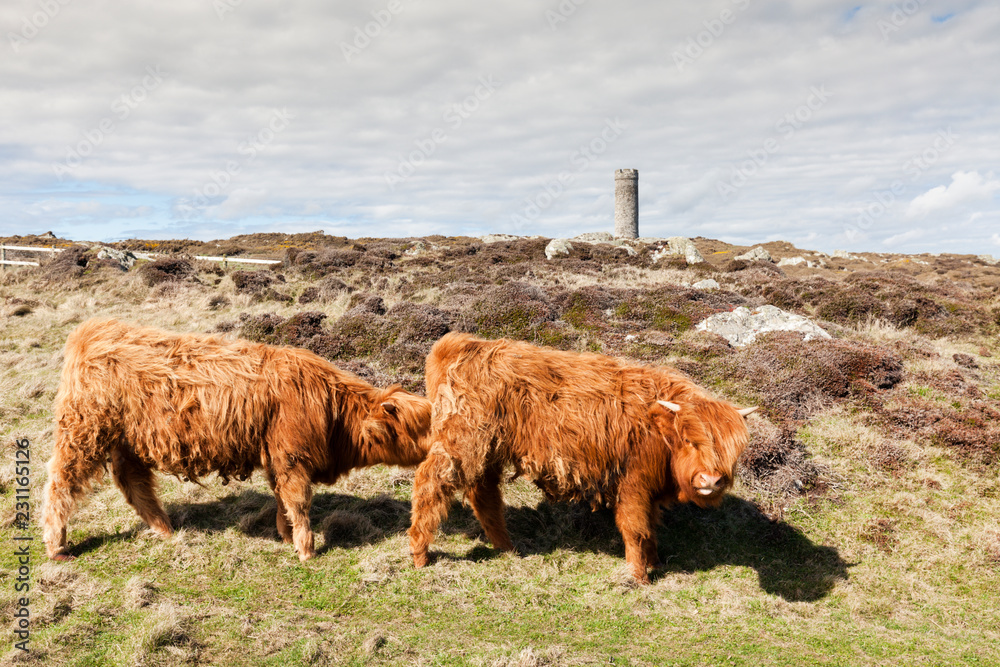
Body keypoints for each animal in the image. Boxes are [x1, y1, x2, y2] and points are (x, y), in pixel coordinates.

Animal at [42, 318, 431, 562]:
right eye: (421, 426)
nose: (437, 447)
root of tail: (90, 331)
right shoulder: (291, 456)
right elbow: (299, 501)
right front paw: (306, 549)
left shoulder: (276, 456)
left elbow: (281, 498)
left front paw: (286, 536)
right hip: (83, 431)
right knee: (61, 483)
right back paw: (57, 545)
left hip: (126, 440)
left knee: (133, 482)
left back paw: (164, 529)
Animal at [408, 332, 756, 583]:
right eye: (690, 440)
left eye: (734, 450)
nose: (711, 480)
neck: (658, 428)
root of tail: (466, 345)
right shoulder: (632, 484)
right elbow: (635, 528)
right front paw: (639, 577)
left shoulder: (650, 490)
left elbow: (651, 526)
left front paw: (655, 561)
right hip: (461, 442)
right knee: (431, 482)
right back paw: (420, 554)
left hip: (489, 449)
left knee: (484, 494)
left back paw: (507, 547)